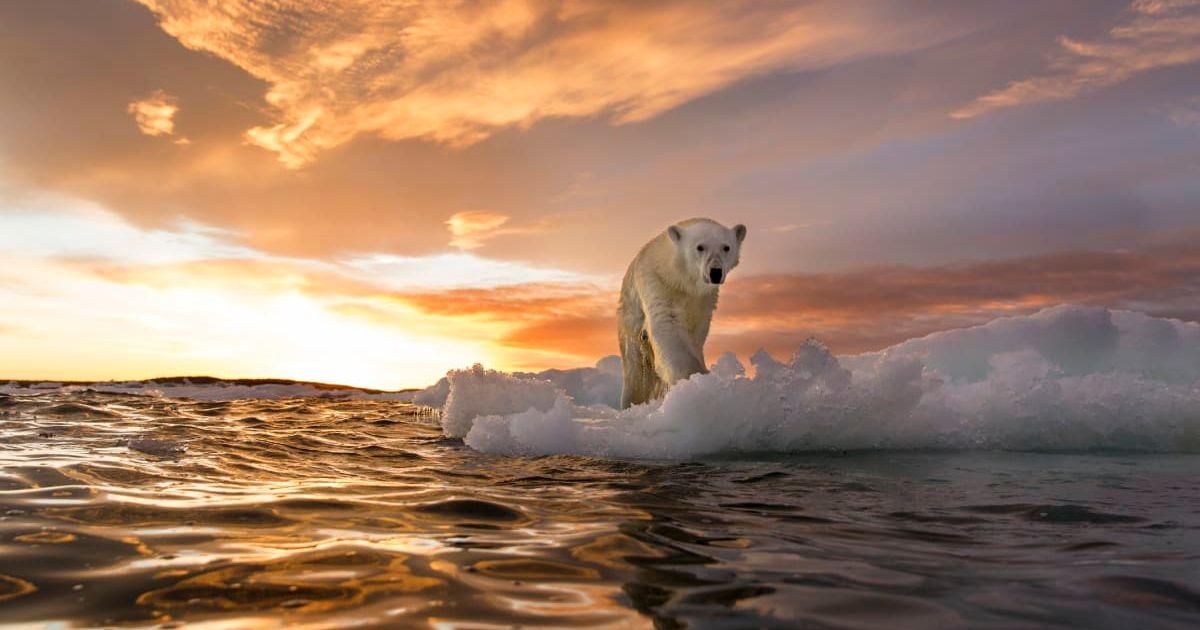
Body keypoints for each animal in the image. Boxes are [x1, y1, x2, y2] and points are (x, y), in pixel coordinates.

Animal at [618, 218, 747, 408]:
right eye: (700, 247)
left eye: (726, 247)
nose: (715, 272)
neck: (681, 281)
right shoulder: (658, 284)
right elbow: (667, 328)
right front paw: (695, 378)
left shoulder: (703, 300)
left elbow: (696, 334)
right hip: (630, 320)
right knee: (636, 369)